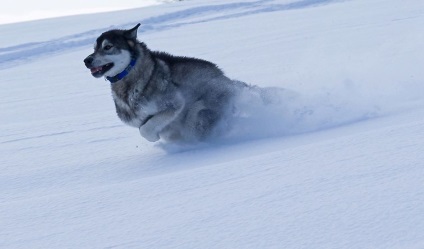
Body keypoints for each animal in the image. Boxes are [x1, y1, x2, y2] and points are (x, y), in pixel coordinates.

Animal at [83, 24, 255, 143]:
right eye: (94, 48)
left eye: (107, 47)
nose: (86, 60)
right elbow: (144, 128)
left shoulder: (173, 104)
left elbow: (145, 130)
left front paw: (155, 137)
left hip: (202, 108)